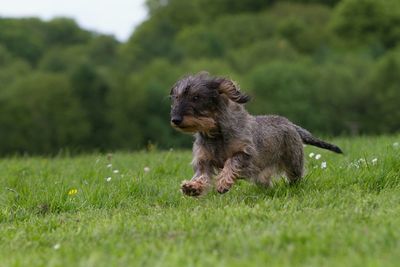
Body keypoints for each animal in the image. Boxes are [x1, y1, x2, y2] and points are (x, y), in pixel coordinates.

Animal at [169, 71, 340, 197]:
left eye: (196, 97)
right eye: (176, 97)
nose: (175, 119)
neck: (216, 134)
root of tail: (290, 124)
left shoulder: (246, 153)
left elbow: (231, 162)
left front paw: (223, 182)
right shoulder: (204, 160)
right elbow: (202, 175)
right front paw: (192, 187)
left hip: (293, 163)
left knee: (296, 177)